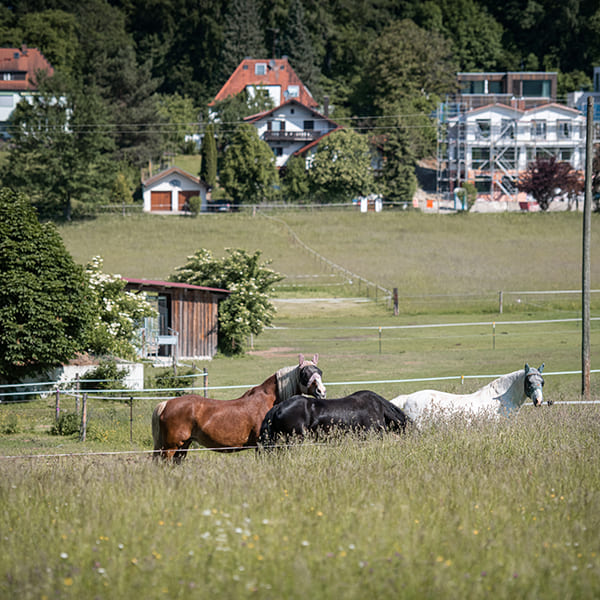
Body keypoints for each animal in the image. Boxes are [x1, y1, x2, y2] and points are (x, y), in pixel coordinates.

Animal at [152, 354, 326, 462]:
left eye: (320, 372)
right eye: (304, 374)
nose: (321, 392)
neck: (270, 402)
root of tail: (165, 404)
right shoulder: (263, 446)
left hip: (182, 447)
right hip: (170, 448)